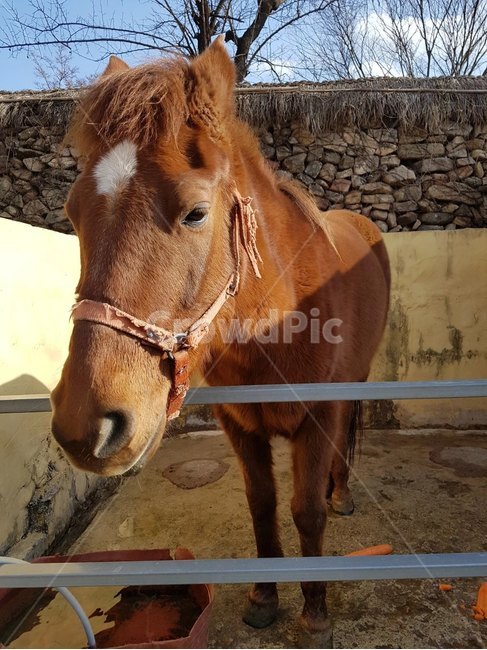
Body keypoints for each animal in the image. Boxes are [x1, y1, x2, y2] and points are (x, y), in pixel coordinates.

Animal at [51, 37, 390, 645]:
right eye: (73, 212)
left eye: (195, 213)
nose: (86, 426)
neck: (275, 327)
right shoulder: (241, 426)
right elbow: (262, 506)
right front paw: (264, 597)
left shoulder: (318, 418)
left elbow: (307, 511)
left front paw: (315, 612)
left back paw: (343, 494)